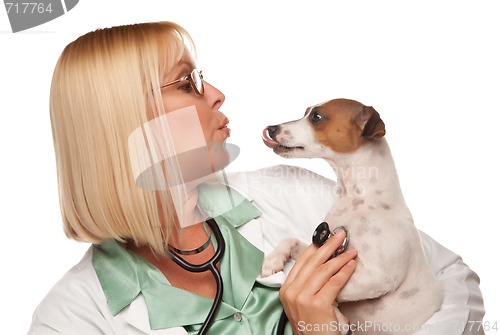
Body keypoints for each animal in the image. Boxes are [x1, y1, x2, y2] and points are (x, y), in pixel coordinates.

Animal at [262, 99, 442, 335]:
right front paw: (271, 261)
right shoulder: (322, 250)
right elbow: (289, 240)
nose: (272, 128)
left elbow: (318, 288)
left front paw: (336, 316)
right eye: (306, 112)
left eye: (316, 117)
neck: (359, 200)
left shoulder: (376, 277)